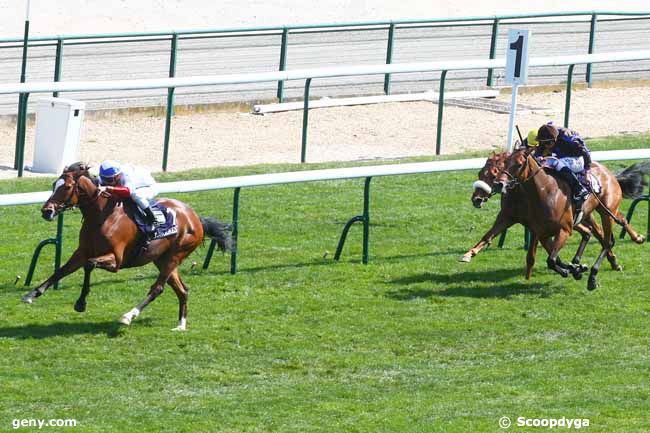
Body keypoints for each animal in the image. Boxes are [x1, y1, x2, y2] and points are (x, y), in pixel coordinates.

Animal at [22, 163, 230, 330]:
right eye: (53, 185)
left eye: (66, 187)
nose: (46, 211)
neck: (102, 216)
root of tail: (195, 218)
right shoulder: (82, 252)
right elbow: (61, 271)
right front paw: (32, 294)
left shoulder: (116, 260)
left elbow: (89, 264)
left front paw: (81, 303)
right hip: (162, 259)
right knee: (182, 290)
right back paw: (181, 325)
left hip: (175, 255)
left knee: (157, 288)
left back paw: (128, 316)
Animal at [496, 146, 644, 290]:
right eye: (505, 162)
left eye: (519, 164)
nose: (500, 184)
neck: (545, 192)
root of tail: (608, 173)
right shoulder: (541, 233)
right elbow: (554, 259)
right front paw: (575, 268)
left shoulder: (564, 230)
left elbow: (551, 260)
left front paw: (574, 270)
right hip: (593, 213)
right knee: (607, 228)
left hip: (607, 212)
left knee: (607, 241)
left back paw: (593, 277)